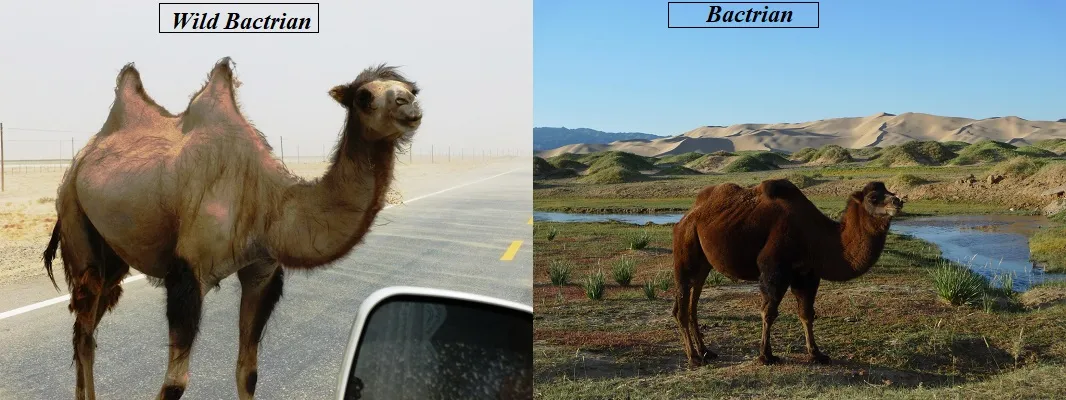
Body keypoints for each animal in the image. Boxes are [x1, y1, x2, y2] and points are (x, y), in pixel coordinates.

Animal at [41, 57, 424, 400]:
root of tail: (82, 158)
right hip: (74, 215)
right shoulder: (188, 272)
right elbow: (174, 384)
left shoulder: (261, 270)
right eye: (364, 96)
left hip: (114, 254)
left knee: (87, 326)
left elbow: (248, 373)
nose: (409, 105)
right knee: (84, 332)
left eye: (411, 88)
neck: (269, 200)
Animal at [673, 180, 899, 369]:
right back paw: (693, 357)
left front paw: (816, 354)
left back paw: (705, 351)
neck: (818, 236)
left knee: (693, 302)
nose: (898, 201)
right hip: (686, 246)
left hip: (703, 263)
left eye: (890, 191)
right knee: (682, 304)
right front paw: (766, 356)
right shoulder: (774, 269)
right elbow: (769, 312)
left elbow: (807, 313)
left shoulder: (807, 274)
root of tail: (687, 216)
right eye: (873, 197)